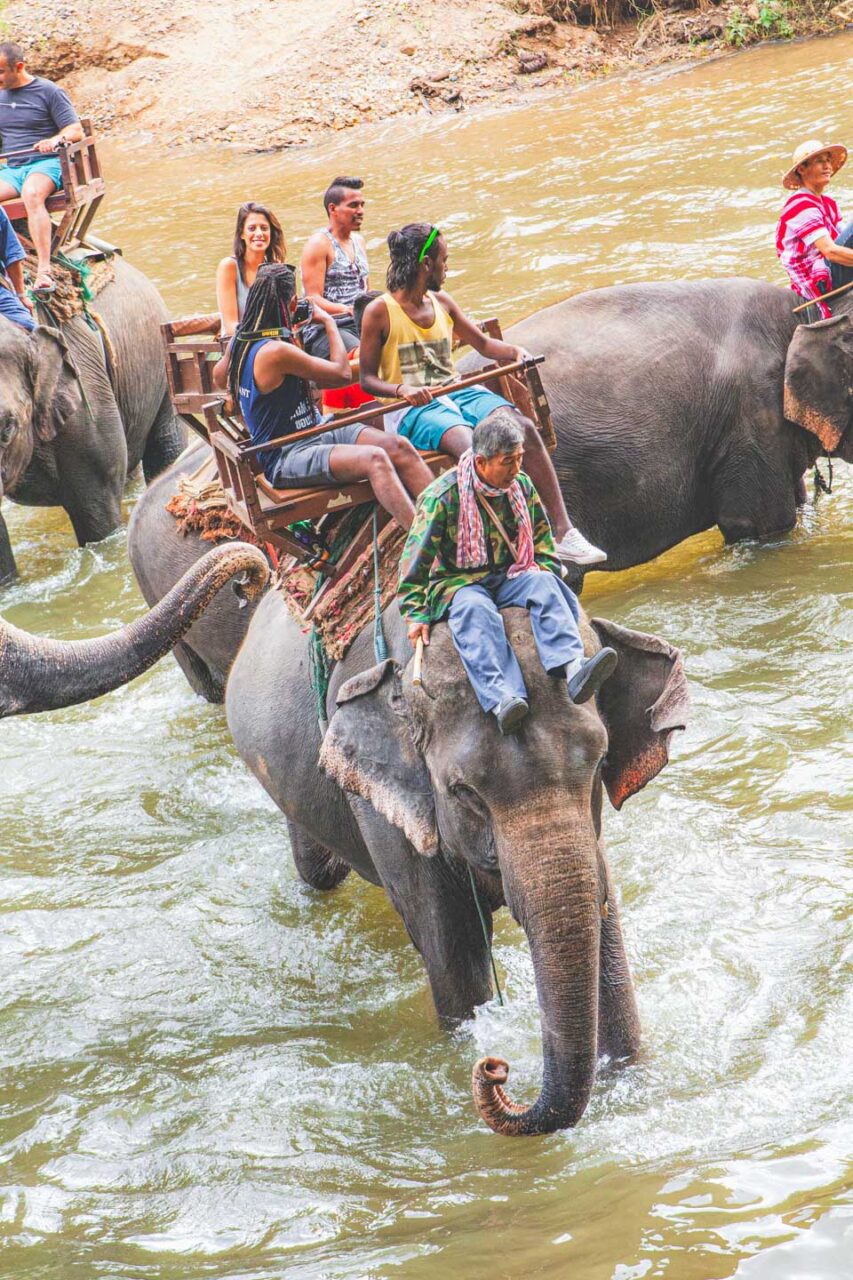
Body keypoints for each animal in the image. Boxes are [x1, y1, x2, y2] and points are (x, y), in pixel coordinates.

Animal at [224, 590, 689, 1136]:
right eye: (463, 791)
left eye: (600, 762)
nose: (495, 1069)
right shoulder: (385, 811)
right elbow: (454, 956)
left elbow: (604, 932)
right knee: (320, 871)